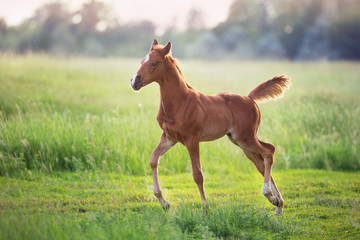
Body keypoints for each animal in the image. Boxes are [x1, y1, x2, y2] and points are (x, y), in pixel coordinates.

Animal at [131, 39, 292, 216]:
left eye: (154, 64)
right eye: (142, 62)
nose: (134, 81)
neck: (180, 102)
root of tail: (250, 98)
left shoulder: (192, 140)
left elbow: (197, 174)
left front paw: (205, 207)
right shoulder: (169, 137)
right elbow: (153, 159)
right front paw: (164, 203)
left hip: (246, 138)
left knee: (269, 151)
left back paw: (269, 194)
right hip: (240, 142)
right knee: (261, 164)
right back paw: (278, 203)